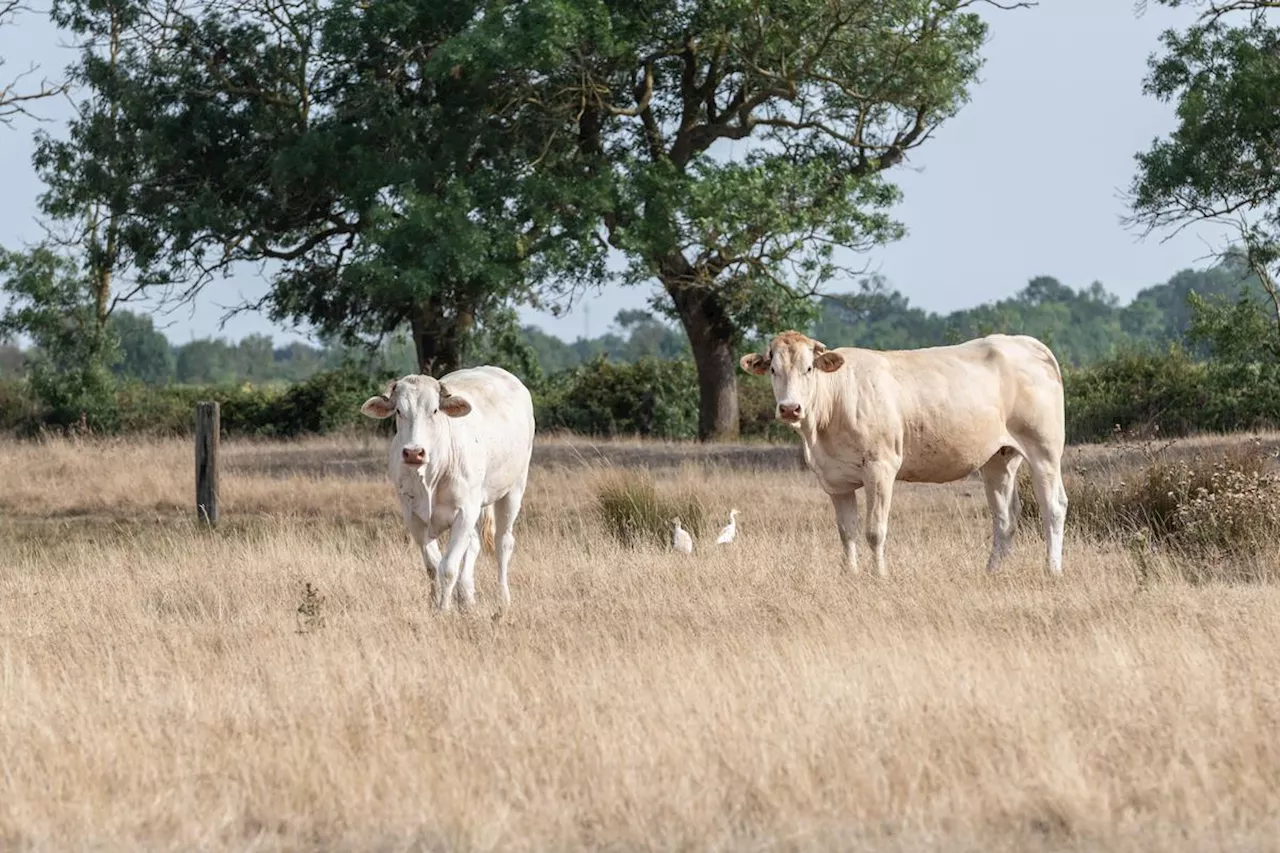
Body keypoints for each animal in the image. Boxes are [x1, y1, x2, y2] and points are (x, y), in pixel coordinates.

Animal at [360, 361, 535, 607]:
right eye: (399, 411)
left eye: (434, 410)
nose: (413, 452)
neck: (430, 477)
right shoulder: (414, 517)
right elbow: (433, 566)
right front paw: (435, 605)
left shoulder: (465, 512)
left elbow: (448, 568)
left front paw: (444, 608)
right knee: (474, 543)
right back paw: (466, 594)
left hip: (514, 489)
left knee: (503, 543)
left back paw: (503, 598)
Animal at [747, 327, 1064, 573]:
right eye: (773, 370)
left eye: (809, 368)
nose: (790, 408)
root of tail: (1025, 343)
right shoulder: (834, 480)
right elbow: (846, 532)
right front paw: (850, 575)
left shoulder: (880, 468)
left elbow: (874, 531)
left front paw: (879, 576)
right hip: (998, 458)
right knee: (1005, 517)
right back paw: (992, 571)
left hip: (1044, 450)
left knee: (1054, 506)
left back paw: (1052, 569)